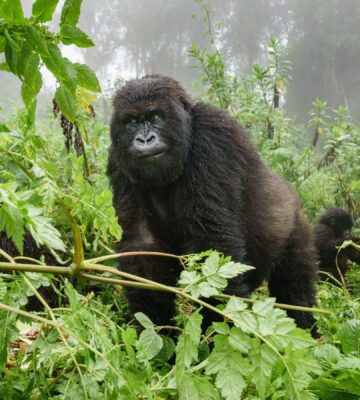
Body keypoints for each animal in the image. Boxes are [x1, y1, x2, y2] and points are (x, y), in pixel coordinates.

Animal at [107, 74, 318, 328]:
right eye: (131, 121)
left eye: (155, 117)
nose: (144, 139)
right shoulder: (118, 160)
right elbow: (143, 243)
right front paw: (156, 328)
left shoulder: (213, 138)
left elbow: (212, 244)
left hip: (297, 230)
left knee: (295, 290)